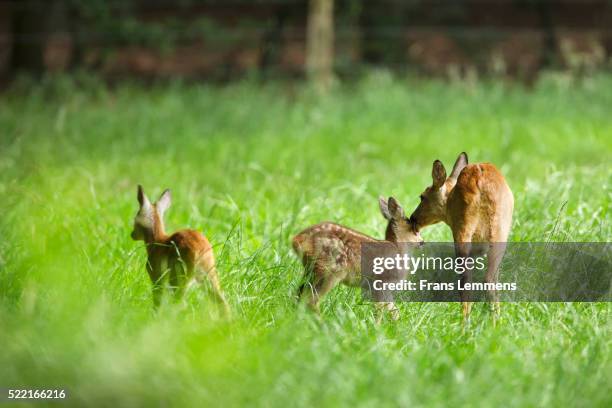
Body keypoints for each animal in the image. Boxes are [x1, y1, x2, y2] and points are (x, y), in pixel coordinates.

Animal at [131, 186, 230, 316]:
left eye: (135, 220)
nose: (132, 234)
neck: (156, 241)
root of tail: (199, 251)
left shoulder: (156, 275)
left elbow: (157, 300)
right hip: (209, 273)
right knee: (222, 300)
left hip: (179, 274)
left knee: (180, 302)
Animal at [292, 196, 420, 320]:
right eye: (413, 230)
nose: (422, 242)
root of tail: (297, 240)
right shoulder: (380, 282)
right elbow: (380, 310)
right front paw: (376, 325)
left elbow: (394, 310)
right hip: (329, 269)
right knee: (311, 300)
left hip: (311, 269)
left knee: (300, 295)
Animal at [408, 153, 512, 326]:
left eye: (422, 197)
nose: (412, 218)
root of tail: (480, 180)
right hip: (501, 233)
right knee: (491, 279)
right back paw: (495, 322)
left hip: (463, 229)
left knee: (466, 279)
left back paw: (464, 324)